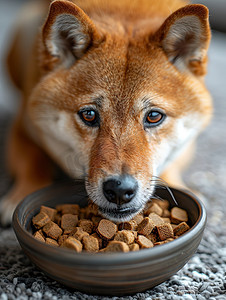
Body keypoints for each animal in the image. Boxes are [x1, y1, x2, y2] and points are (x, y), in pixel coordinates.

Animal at [0, 0, 212, 225]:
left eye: (154, 116)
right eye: (89, 115)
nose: (120, 190)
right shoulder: (24, 125)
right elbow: (32, 161)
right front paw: (23, 193)